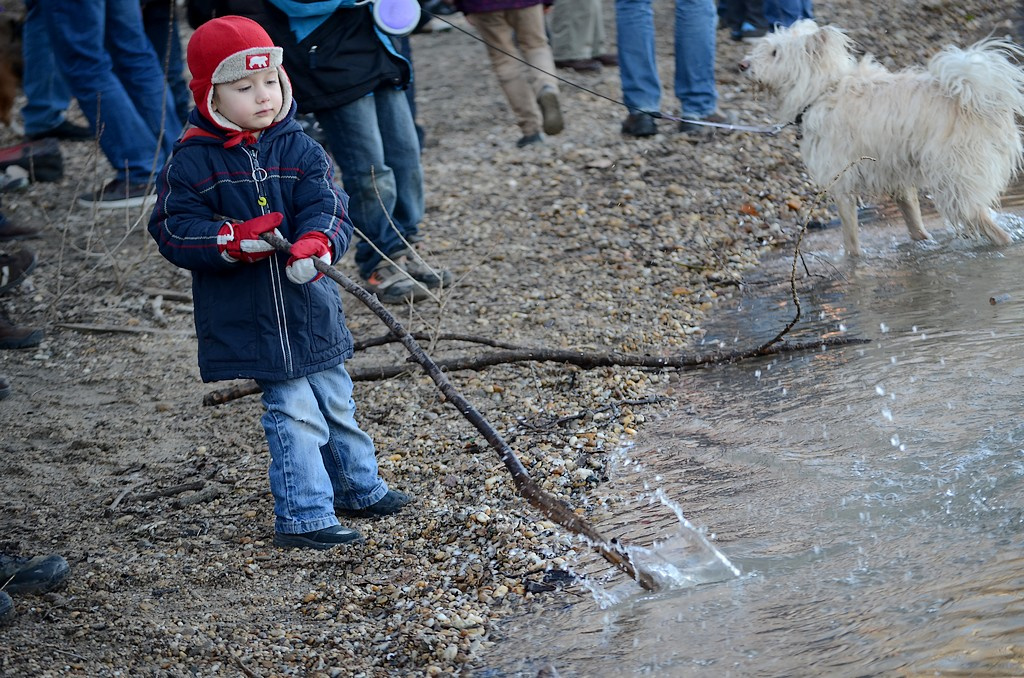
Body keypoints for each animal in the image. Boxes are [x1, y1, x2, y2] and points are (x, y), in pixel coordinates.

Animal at [741, 21, 1024, 256]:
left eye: (775, 53)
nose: (742, 65)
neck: (822, 90)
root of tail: (980, 100)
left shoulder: (841, 182)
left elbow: (851, 240)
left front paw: (853, 262)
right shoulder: (898, 180)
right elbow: (914, 223)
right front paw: (922, 240)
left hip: (956, 181)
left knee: (991, 228)